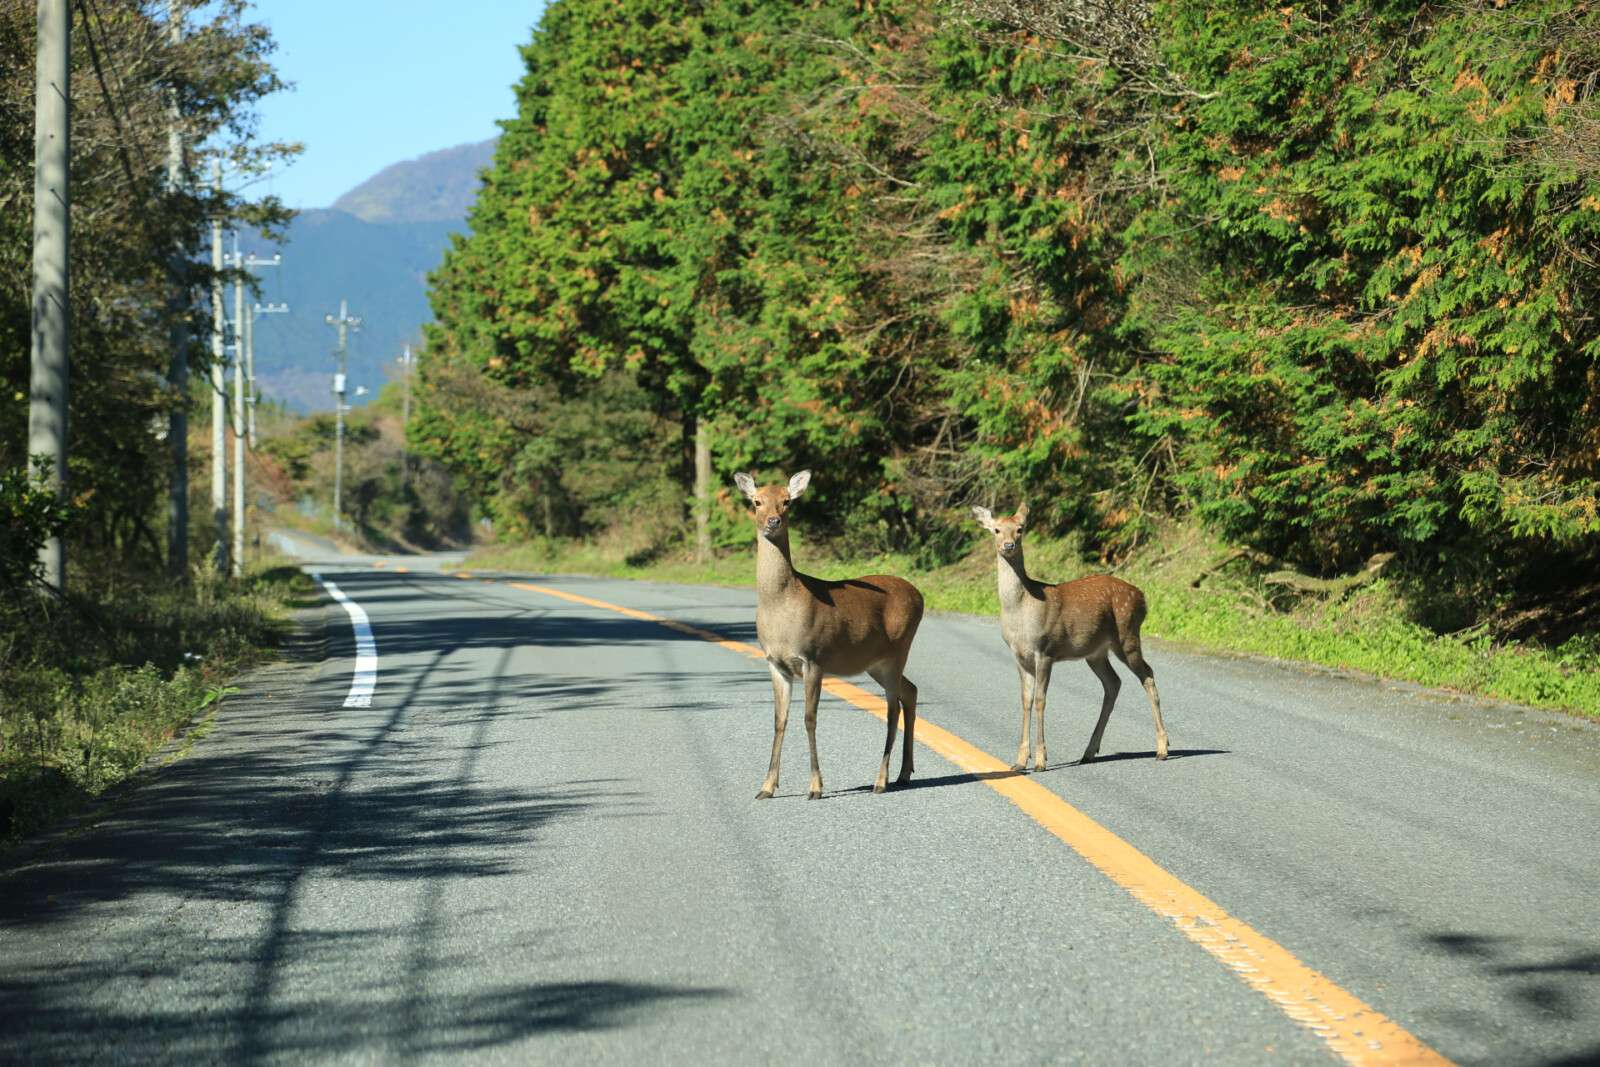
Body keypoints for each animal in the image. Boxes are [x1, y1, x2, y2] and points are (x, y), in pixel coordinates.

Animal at [734, 470, 925, 800]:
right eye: (756, 501)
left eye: (787, 501)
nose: (773, 521)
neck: (782, 605)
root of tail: (920, 596)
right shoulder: (775, 663)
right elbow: (779, 720)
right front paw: (767, 787)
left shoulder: (814, 657)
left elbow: (809, 719)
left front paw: (815, 787)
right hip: (876, 662)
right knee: (909, 692)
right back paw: (903, 774)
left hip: (899, 649)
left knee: (892, 708)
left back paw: (881, 780)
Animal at [971, 502, 1169, 772]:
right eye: (996, 530)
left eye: (1020, 529)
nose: (1008, 545)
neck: (1020, 610)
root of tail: (1142, 597)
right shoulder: (1019, 655)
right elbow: (1025, 700)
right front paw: (1020, 761)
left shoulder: (1045, 650)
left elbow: (1040, 699)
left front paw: (1041, 760)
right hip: (1096, 652)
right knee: (1113, 683)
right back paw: (1089, 751)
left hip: (1127, 635)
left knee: (1147, 674)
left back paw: (1162, 748)